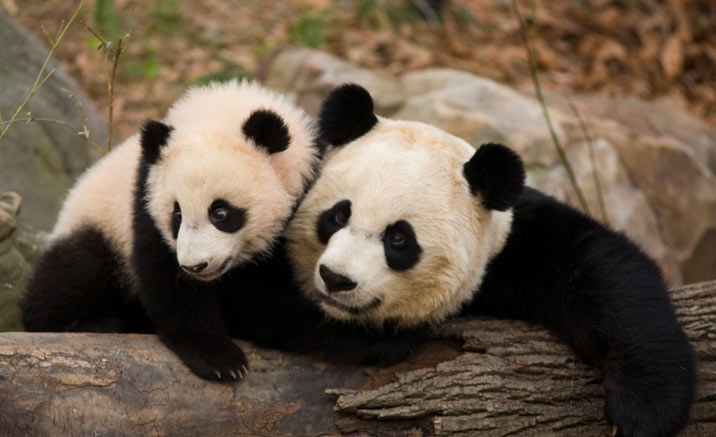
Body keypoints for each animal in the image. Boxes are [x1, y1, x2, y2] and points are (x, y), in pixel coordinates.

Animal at [21, 78, 318, 382]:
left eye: (220, 213)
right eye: (177, 214)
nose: (195, 266)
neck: (222, 109)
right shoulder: (146, 195)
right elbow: (167, 279)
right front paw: (220, 359)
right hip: (97, 223)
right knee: (74, 272)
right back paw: (92, 323)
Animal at [284, 84, 692, 436]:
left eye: (398, 239)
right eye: (338, 216)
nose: (336, 279)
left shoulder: (511, 250)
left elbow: (605, 270)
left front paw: (645, 410)